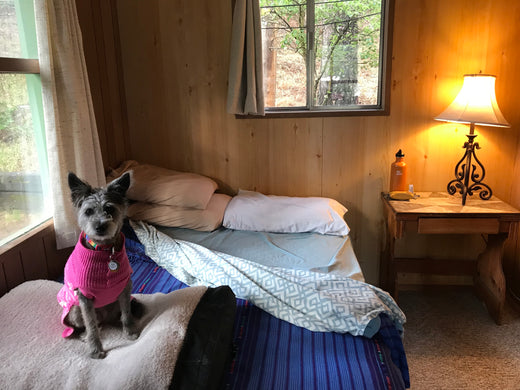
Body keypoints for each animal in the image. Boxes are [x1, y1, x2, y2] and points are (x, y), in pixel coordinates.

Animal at [57, 171, 143, 360]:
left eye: (109, 209)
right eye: (88, 211)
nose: (100, 226)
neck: (104, 251)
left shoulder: (125, 288)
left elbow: (127, 314)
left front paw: (130, 332)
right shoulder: (85, 298)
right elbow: (91, 326)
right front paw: (95, 350)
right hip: (75, 311)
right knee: (93, 324)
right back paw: (84, 335)